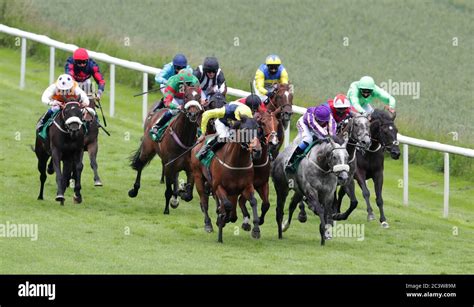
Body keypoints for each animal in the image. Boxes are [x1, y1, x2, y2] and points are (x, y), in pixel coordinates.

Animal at [128, 84, 202, 214]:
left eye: (198, 97)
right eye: (186, 96)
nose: (193, 114)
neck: (185, 139)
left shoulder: (191, 169)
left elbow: (188, 195)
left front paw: (180, 192)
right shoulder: (169, 166)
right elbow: (168, 191)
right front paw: (167, 209)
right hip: (147, 149)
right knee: (140, 165)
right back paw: (134, 190)